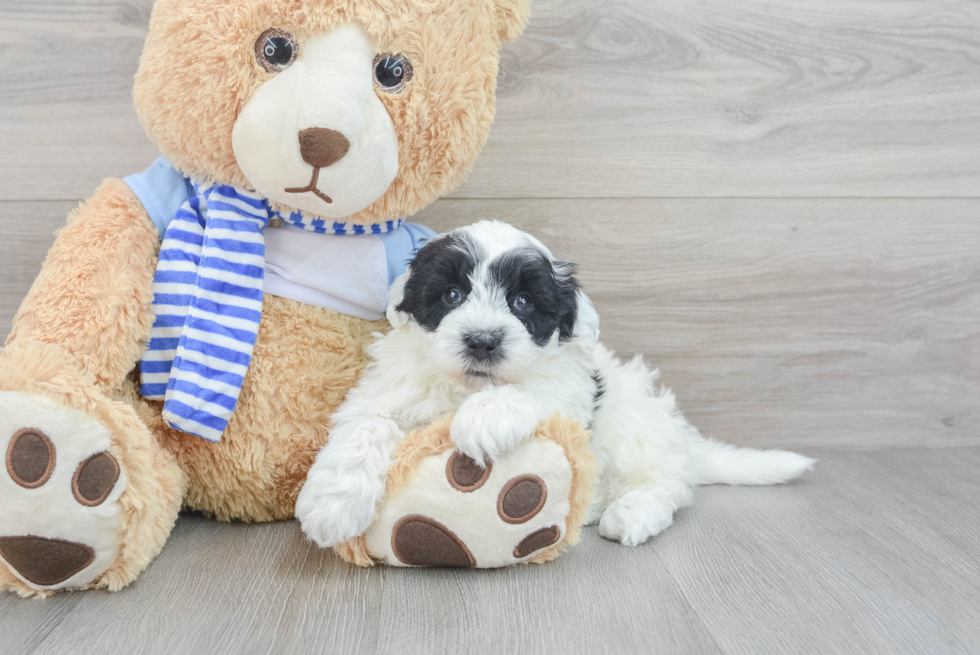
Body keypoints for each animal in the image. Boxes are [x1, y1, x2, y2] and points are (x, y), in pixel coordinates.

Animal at [294, 220, 816, 548]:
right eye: (452, 294)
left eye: (523, 302)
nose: (483, 341)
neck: (468, 387)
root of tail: (684, 444)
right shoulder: (384, 392)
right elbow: (366, 426)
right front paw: (331, 505)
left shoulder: (568, 390)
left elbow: (528, 391)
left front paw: (483, 419)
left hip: (634, 426)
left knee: (667, 484)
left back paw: (630, 512)